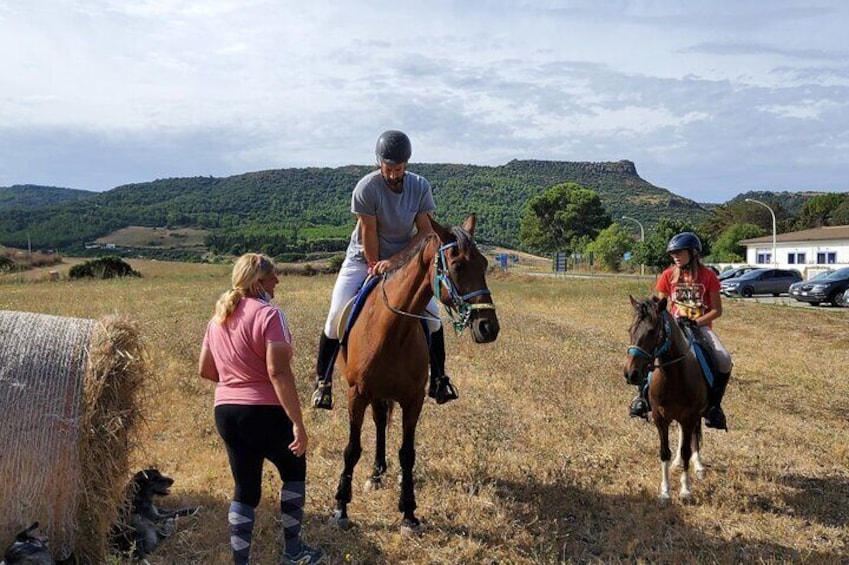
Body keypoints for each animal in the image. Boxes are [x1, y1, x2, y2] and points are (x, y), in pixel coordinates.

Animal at [330, 214, 496, 532]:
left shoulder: (413, 398)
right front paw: (341, 506)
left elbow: (407, 453)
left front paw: (408, 511)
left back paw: (380, 472)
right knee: (379, 423)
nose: (488, 327)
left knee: (382, 423)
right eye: (458, 266)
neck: (392, 329)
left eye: (484, 264)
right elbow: (351, 448)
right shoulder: (357, 394)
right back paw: (374, 474)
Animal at [624, 296, 708, 502]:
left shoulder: (689, 416)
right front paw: (665, 491)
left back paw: (698, 465)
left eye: (652, 332)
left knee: (694, 434)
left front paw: (685, 489)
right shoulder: (660, 418)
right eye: (630, 330)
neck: (674, 377)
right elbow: (664, 452)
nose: (631, 374)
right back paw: (677, 462)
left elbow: (687, 451)